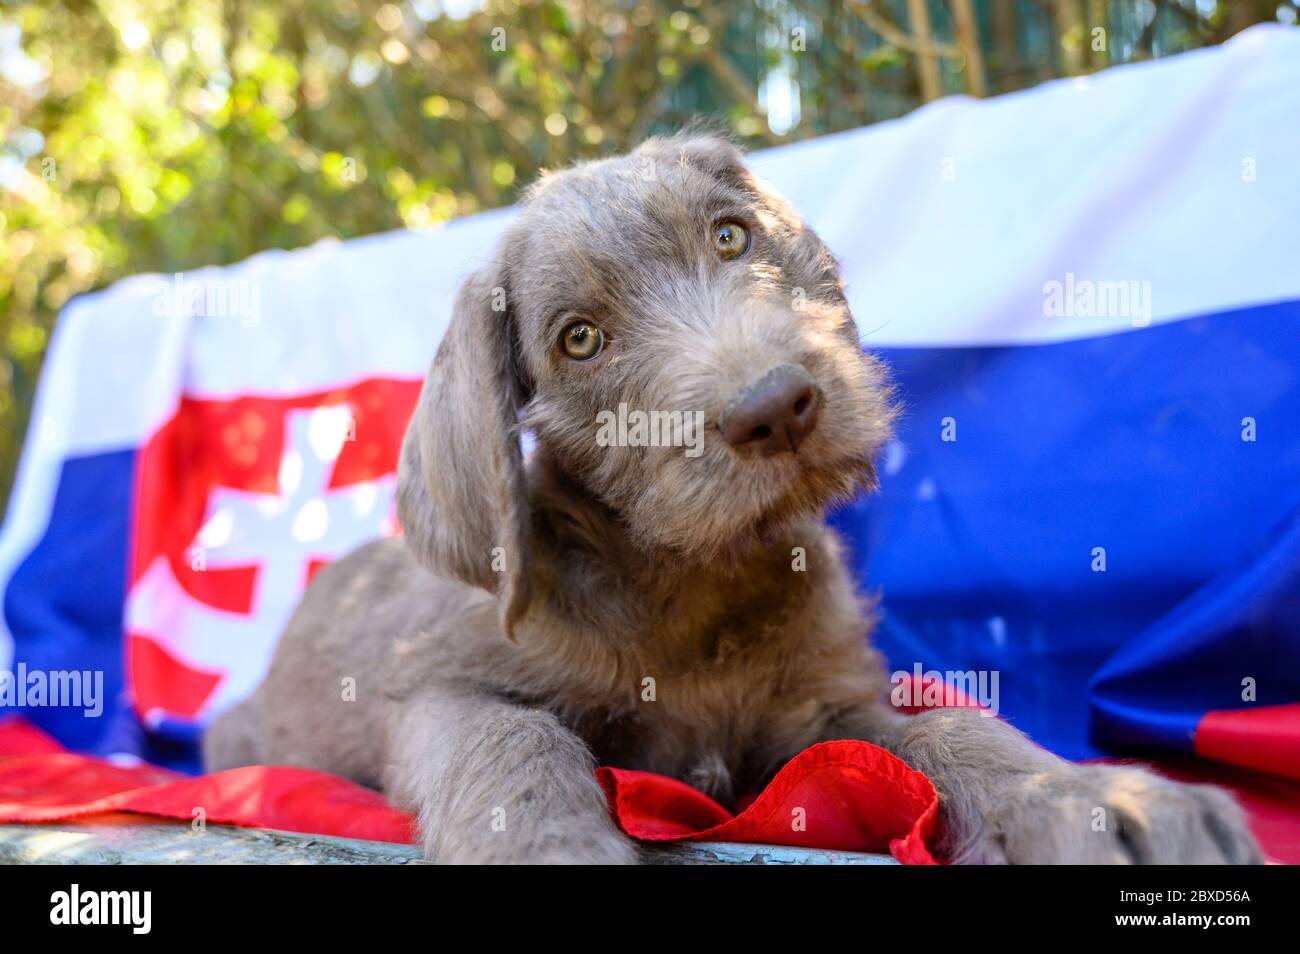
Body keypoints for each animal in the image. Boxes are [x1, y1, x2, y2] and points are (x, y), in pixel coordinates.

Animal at [208, 134, 1263, 868]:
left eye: (731, 235)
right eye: (579, 339)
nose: (777, 406)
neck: (693, 588)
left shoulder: (820, 713)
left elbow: (946, 727)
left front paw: (1101, 801)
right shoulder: (439, 685)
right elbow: (510, 742)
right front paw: (553, 845)